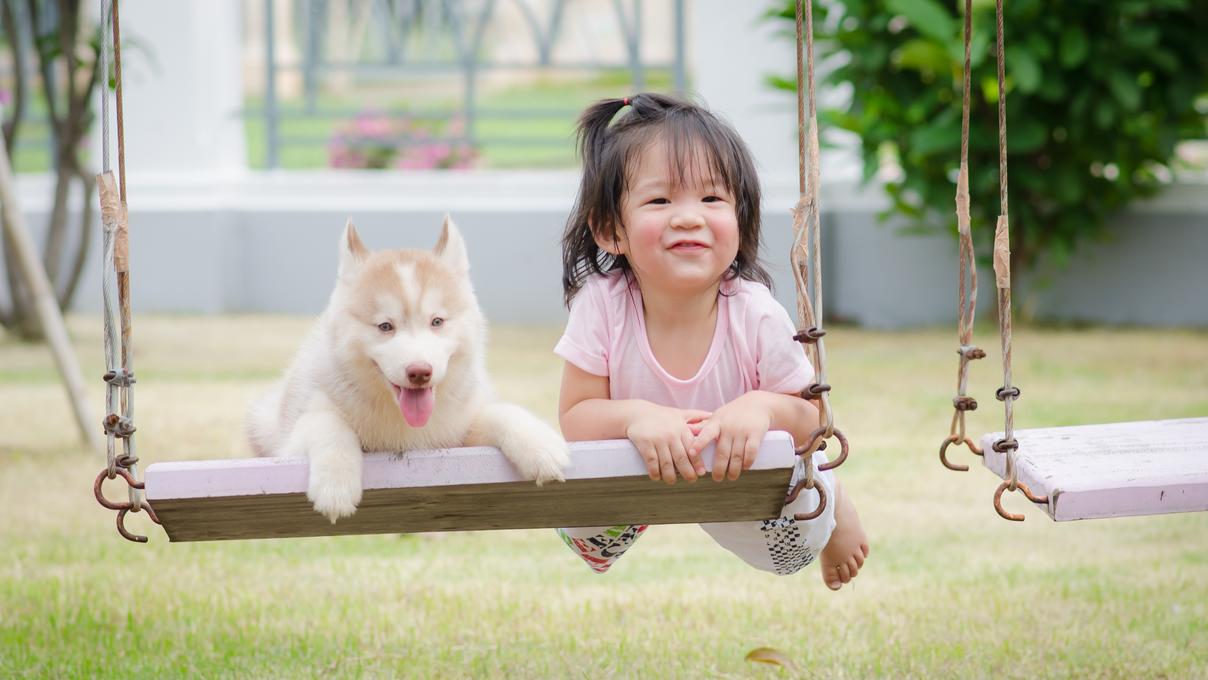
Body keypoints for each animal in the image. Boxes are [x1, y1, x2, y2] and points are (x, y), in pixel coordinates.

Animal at [247, 214, 572, 524]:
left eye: (437, 321)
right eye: (385, 326)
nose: (420, 372)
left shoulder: (458, 434)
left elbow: (498, 412)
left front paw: (540, 445)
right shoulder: (294, 437)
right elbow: (327, 424)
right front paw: (335, 486)